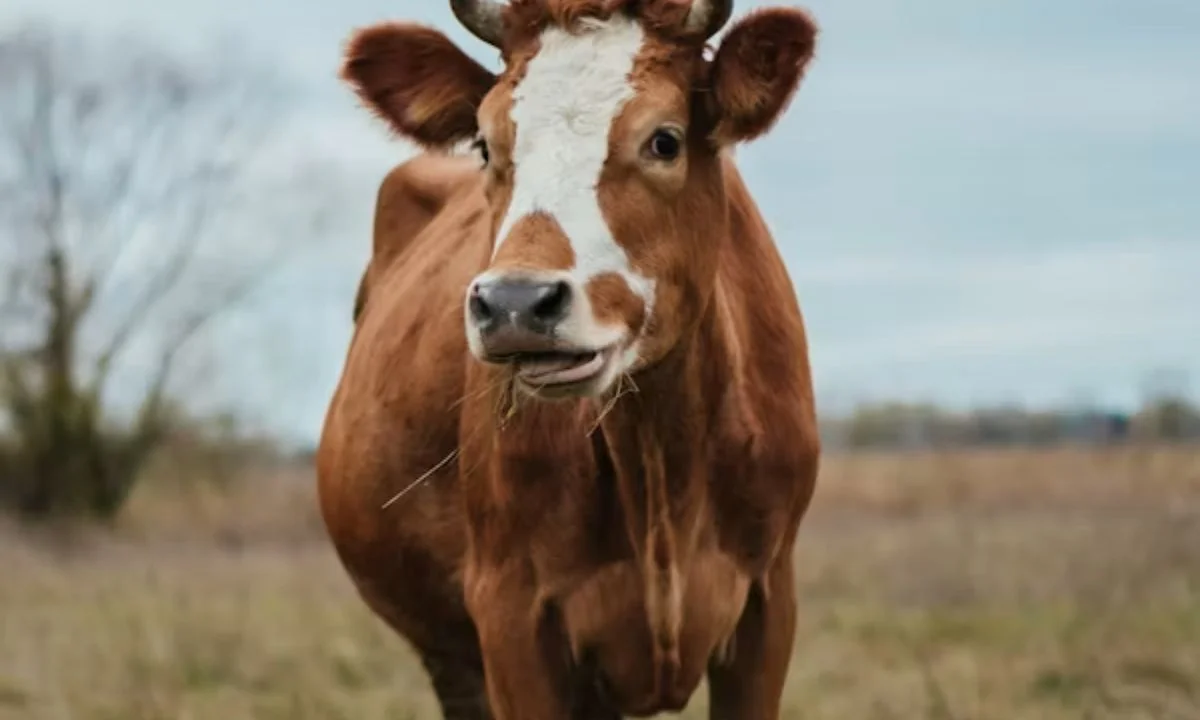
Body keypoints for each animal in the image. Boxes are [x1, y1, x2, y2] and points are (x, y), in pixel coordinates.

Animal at [316, 1, 822, 718]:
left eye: (664, 140)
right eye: (485, 144)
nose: (515, 303)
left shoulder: (769, 602)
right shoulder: (510, 616)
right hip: (450, 653)